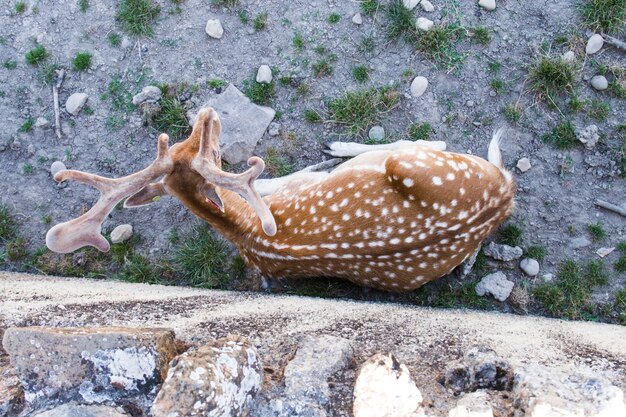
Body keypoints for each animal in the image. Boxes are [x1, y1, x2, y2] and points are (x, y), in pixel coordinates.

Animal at [47, 106, 512, 290]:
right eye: (208, 148)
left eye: (188, 144)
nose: (207, 113)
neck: (246, 231)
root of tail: (502, 195)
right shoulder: (280, 192)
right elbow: (280, 181)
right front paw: (315, 165)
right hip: (415, 165)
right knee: (426, 142)